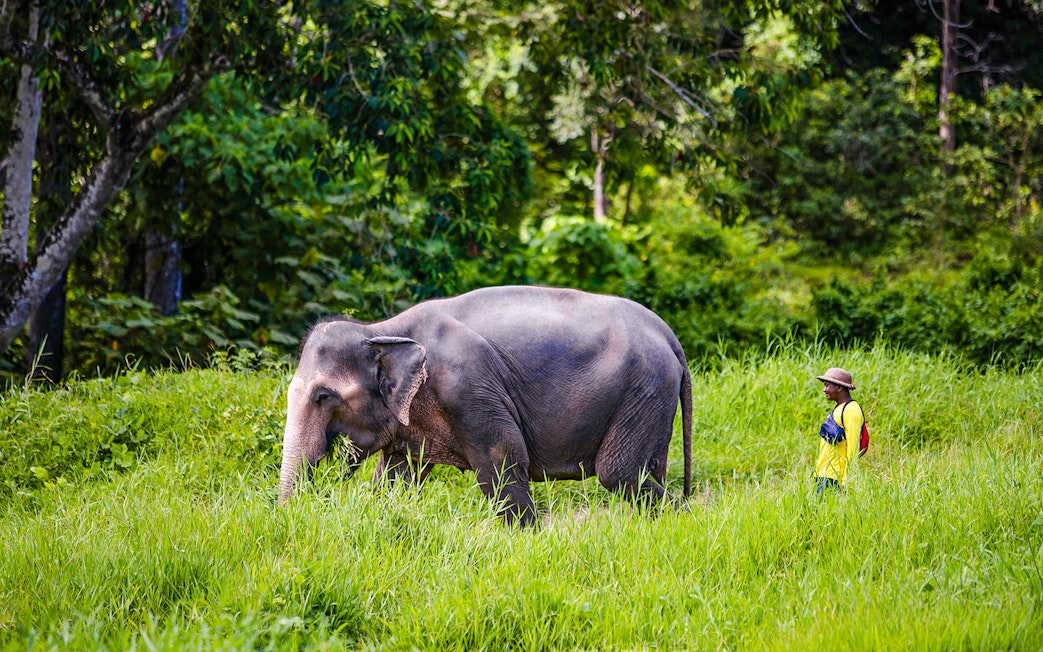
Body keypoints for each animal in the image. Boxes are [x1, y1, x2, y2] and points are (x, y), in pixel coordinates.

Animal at [277, 285, 692, 526]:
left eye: (323, 396)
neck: (381, 329)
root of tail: (668, 334)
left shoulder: (468, 389)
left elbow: (503, 460)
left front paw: (526, 543)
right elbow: (397, 477)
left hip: (645, 388)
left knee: (618, 473)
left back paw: (684, 521)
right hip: (651, 398)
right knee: (645, 470)